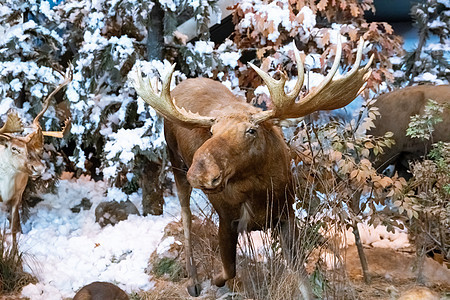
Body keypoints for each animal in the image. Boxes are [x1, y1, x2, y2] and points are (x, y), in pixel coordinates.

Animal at [127, 37, 372, 296]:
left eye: (251, 130)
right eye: (211, 131)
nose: (201, 173)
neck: (259, 195)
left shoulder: (286, 214)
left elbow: (303, 280)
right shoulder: (227, 219)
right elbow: (229, 270)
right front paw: (215, 279)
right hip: (176, 162)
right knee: (186, 216)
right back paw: (193, 281)